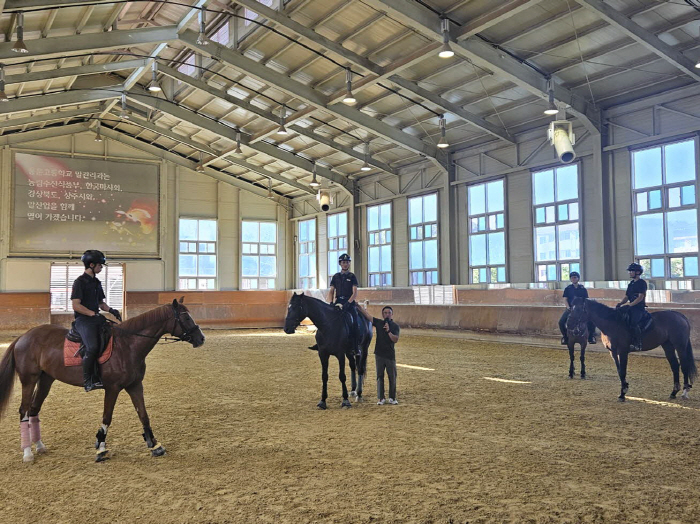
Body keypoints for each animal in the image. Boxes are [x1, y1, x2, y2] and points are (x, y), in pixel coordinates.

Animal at [0, 298, 204, 462]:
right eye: (186, 318)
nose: (201, 338)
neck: (128, 345)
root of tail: (23, 336)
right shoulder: (112, 388)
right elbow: (107, 416)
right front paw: (101, 447)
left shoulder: (135, 386)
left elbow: (143, 415)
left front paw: (154, 445)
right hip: (29, 380)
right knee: (24, 411)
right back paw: (28, 453)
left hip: (46, 380)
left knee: (34, 409)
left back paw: (40, 446)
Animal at [568, 296, 696, 404]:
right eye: (571, 308)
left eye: (579, 309)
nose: (570, 326)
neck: (613, 324)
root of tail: (679, 315)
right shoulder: (613, 352)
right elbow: (619, 371)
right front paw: (624, 389)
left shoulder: (622, 351)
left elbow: (623, 371)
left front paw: (623, 394)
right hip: (667, 345)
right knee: (675, 366)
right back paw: (673, 392)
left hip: (680, 345)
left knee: (684, 365)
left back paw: (685, 392)